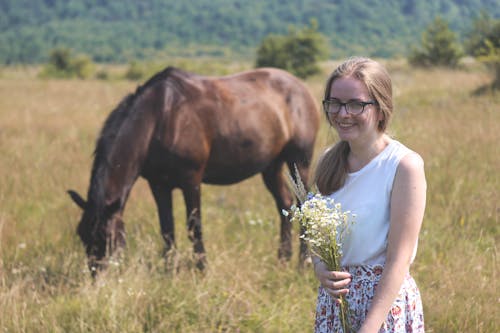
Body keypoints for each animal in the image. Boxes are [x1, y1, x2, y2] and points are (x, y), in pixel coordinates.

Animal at [68, 65, 320, 272]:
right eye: (81, 235)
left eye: (107, 237)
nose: (96, 276)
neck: (160, 118)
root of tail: (301, 88)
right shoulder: (159, 185)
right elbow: (167, 228)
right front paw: (169, 271)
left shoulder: (191, 181)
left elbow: (194, 225)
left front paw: (201, 269)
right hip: (271, 166)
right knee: (284, 203)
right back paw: (283, 259)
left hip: (299, 161)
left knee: (303, 205)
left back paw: (303, 263)